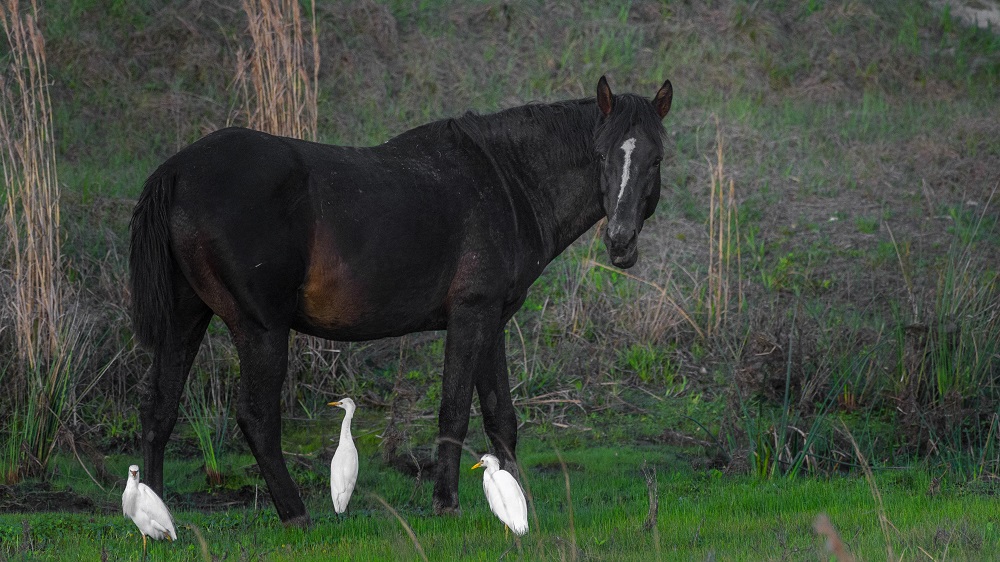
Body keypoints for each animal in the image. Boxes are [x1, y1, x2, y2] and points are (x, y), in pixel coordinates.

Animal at [127, 74, 672, 520]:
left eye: (656, 158)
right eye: (601, 155)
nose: (621, 241)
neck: (506, 180)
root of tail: (177, 170)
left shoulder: (492, 321)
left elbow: (501, 416)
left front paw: (516, 500)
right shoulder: (471, 316)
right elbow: (454, 410)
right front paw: (446, 501)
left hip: (186, 317)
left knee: (160, 407)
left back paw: (157, 509)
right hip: (260, 329)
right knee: (256, 417)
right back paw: (296, 513)